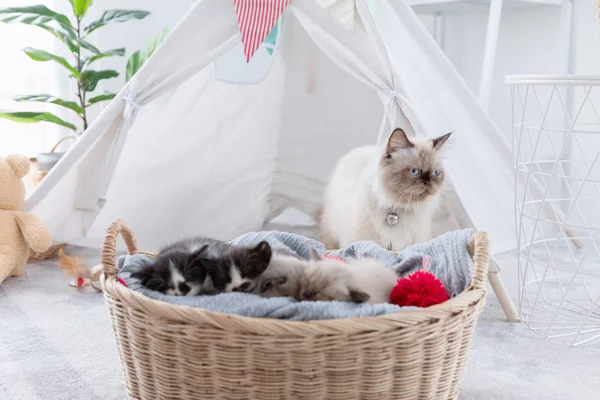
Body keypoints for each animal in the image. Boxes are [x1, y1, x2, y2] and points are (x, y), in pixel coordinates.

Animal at [318, 128, 450, 250]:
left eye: (435, 173)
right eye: (414, 171)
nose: (428, 183)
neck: (397, 208)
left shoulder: (415, 241)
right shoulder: (364, 239)